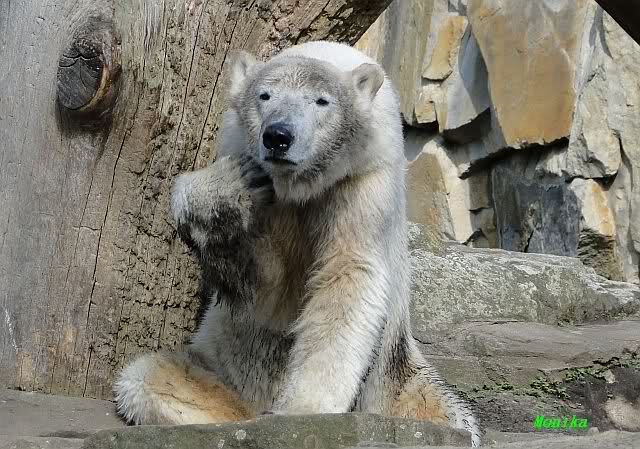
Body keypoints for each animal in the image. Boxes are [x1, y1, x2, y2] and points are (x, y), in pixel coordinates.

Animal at [114, 40, 481, 446]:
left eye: (321, 101)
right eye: (264, 95)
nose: (278, 136)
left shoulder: (364, 178)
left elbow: (348, 275)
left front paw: (304, 412)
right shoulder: (241, 154)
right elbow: (261, 285)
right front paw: (227, 187)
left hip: (395, 374)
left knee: (441, 413)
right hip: (219, 364)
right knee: (150, 378)